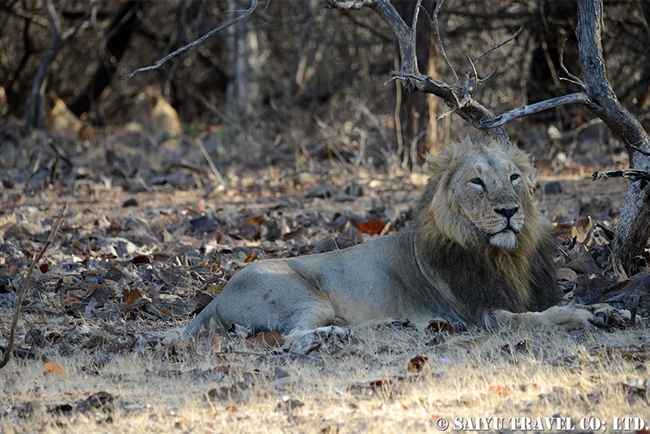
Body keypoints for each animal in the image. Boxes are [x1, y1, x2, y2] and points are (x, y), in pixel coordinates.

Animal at [185, 136, 612, 342]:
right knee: (290, 337)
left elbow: (561, 302)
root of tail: (218, 295)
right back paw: (329, 337)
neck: (506, 255)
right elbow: (536, 319)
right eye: (476, 181)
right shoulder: (484, 315)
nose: (508, 210)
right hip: (306, 299)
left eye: (514, 178)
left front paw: (609, 310)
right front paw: (583, 317)